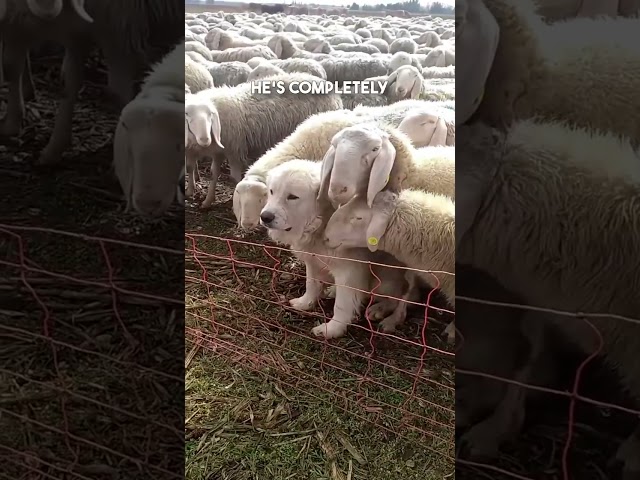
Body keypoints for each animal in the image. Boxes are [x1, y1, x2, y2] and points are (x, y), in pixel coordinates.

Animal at [185, 73, 344, 208]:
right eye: (188, 115)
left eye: (210, 115)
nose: (204, 139)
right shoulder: (218, 151)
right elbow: (211, 172)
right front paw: (205, 199)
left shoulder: (235, 150)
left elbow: (234, 177)